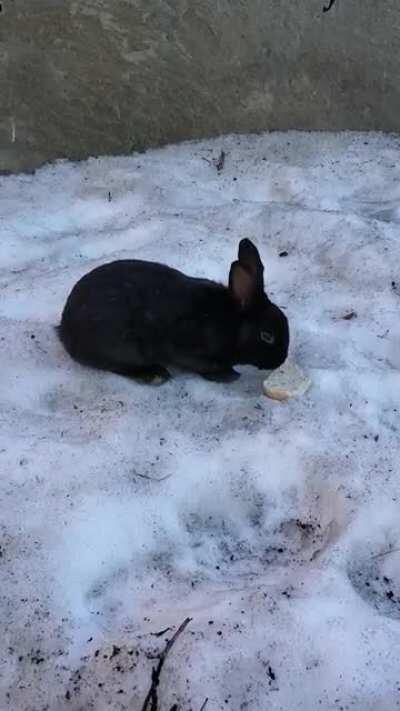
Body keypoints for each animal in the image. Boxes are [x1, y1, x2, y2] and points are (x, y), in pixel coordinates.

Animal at [57, 238, 289, 384]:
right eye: (267, 336)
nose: (280, 360)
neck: (232, 323)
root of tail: (65, 329)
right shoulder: (187, 349)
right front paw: (228, 375)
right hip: (120, 346)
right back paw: (153, 374)